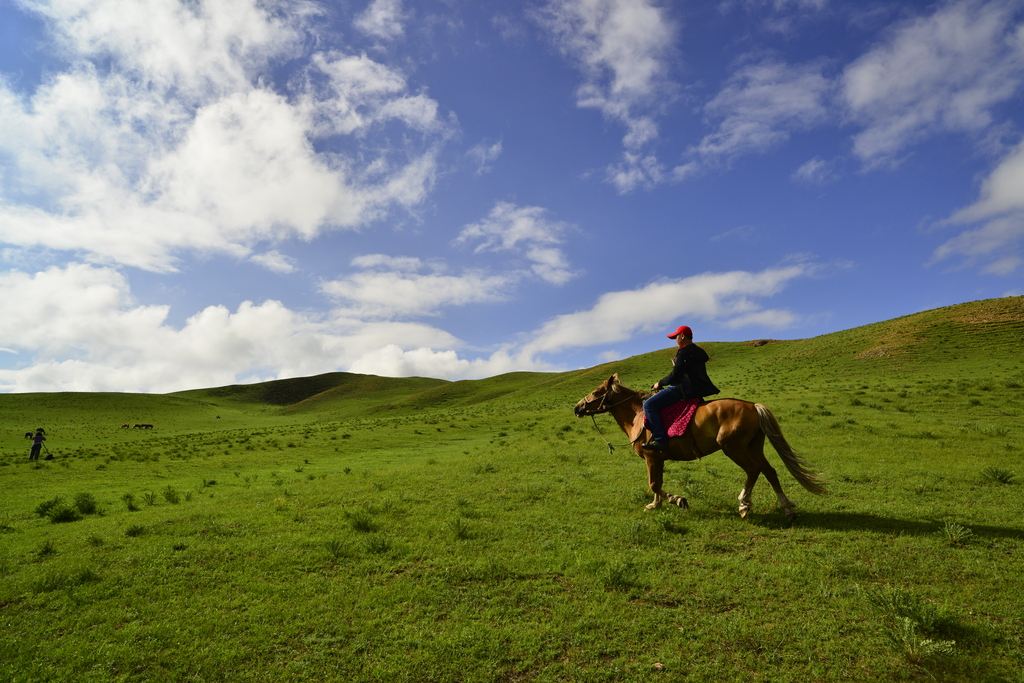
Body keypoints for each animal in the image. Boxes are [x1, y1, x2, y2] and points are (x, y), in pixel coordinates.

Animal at [573, 374, 827, 518]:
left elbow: (654, 484)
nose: (577, 407)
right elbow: (656, 484)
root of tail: (753, 406)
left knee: (754, 470)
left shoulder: (651, 456)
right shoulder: (658, 459)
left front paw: (678, 500)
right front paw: (656, 505)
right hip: (754, 447)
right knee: (769, 471)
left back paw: (745, 504)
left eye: (596, 392)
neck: (638, 416)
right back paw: (785, 508)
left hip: (734, 448)